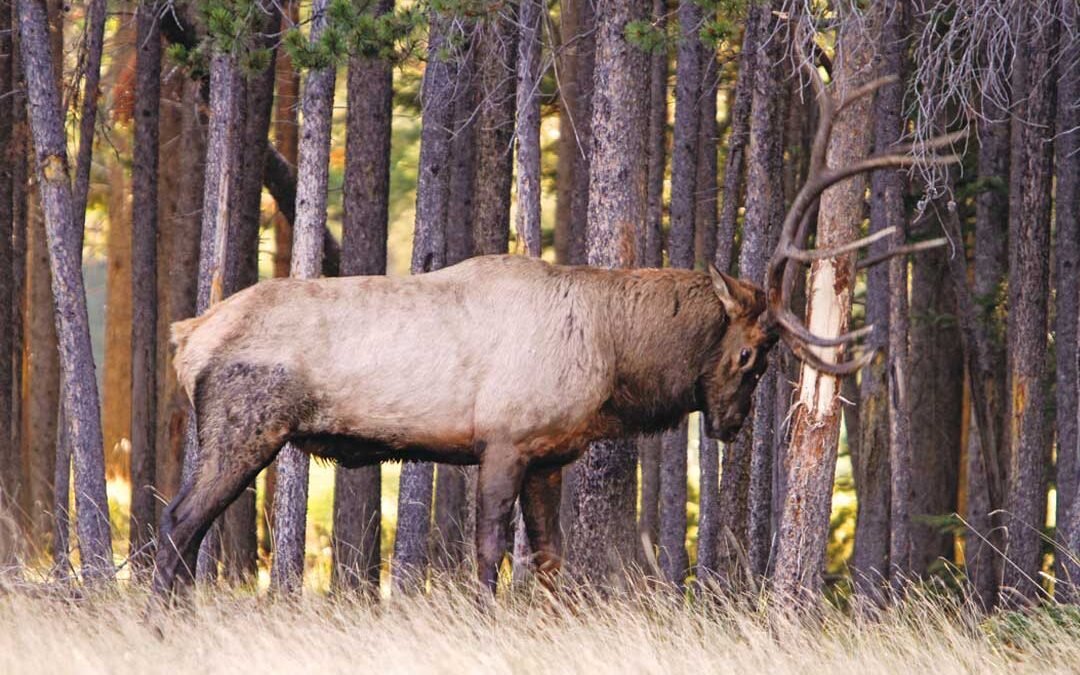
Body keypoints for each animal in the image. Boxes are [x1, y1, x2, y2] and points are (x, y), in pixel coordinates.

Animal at [150, 46, 961, 601]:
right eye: (751, 352)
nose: (731, 425)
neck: (612, 365)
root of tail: (187, 336)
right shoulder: (503, 439)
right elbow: (487, 555)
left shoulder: (546, 455)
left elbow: (549, 560)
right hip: (245, 425)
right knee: (178, 523)